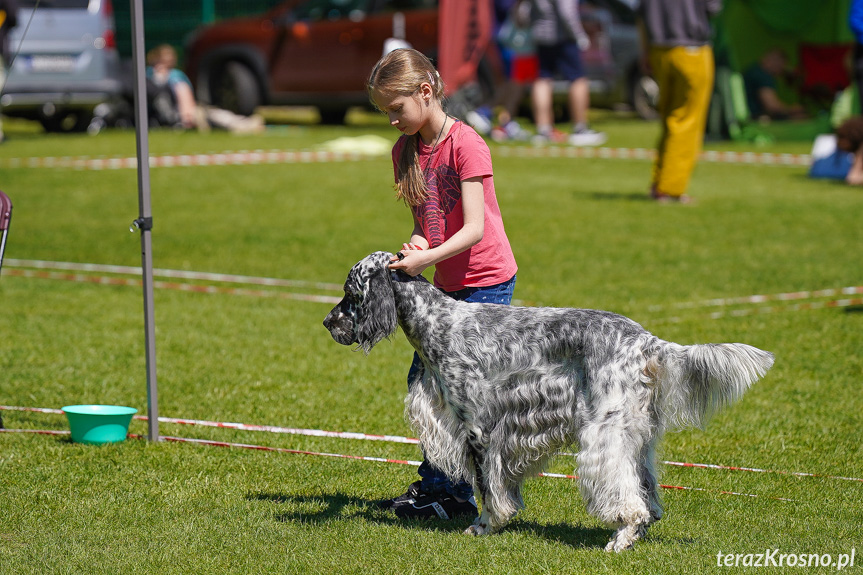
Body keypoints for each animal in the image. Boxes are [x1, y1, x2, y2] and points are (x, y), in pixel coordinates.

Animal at [324, 254, 776, 552]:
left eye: (350, 292)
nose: (328, 322)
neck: (438, 322)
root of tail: (645, 341)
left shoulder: (479, 427)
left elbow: (488, 488)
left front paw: (485, 526)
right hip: (638, 436)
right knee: (647, 493)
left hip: (604, 433)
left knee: (626, 495)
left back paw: (620, 538)